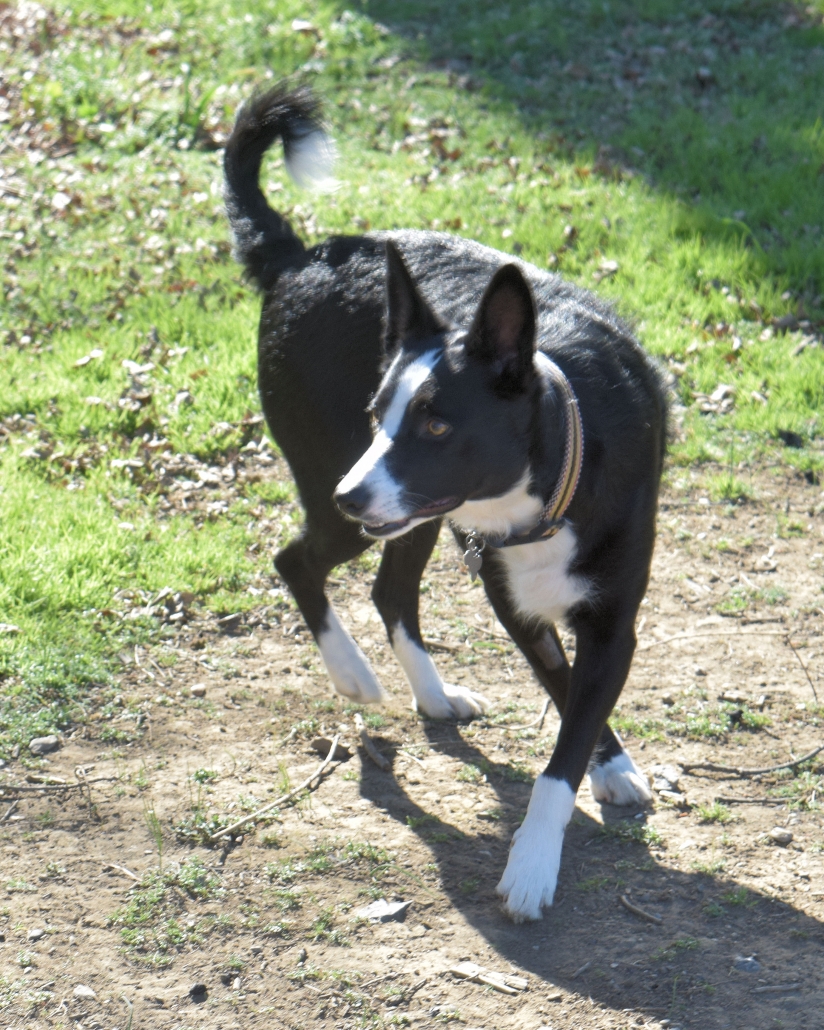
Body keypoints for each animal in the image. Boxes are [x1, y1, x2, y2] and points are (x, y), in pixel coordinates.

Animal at [225, 86, 667, 927]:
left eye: (434, 424)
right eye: (379, 413)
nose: (350, 490)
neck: (557, 474)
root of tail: (300, 257)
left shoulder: (609, 622)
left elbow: (572, 719)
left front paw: (600, 775)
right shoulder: (516, 604)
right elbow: (565, 702)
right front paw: (536, 864)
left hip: (407, 513)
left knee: (388, 589)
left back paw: (429, 695)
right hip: (361, 505)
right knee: (297, 559)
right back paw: (355, 675)